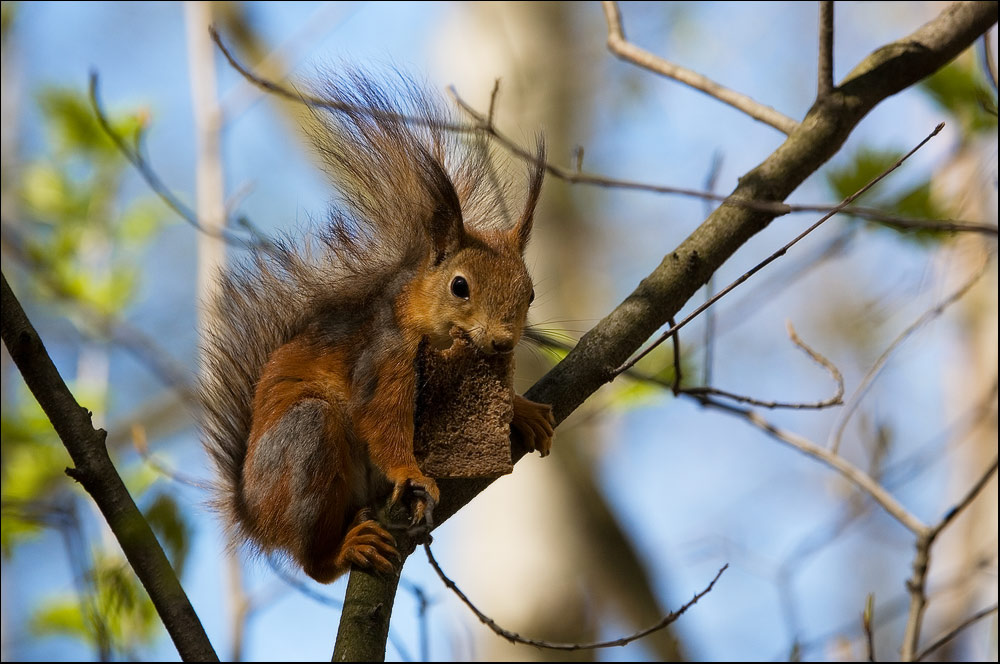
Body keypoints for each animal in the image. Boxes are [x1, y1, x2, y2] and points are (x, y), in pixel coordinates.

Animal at [195, 70, 556, 584]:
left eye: (530, 294)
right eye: (459, 286)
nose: (503, 341)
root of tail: (252, 516)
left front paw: (523, 410)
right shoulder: (384, 359)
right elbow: (381, 421)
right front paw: (410, 472)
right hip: (305, 443)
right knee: (312, 563)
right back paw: (345, 549)